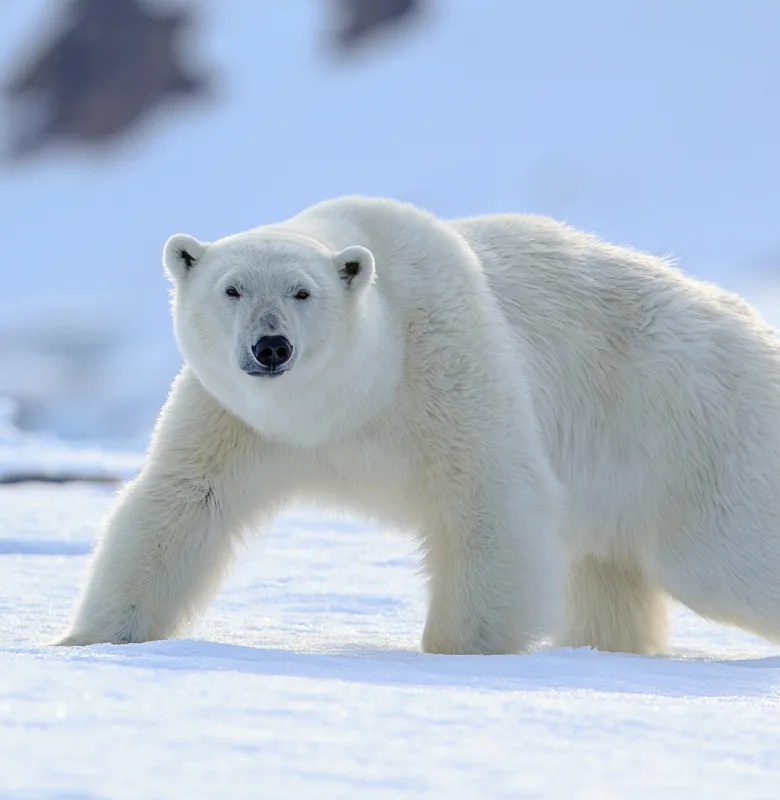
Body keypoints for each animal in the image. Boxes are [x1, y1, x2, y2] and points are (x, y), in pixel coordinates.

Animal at [57, 195, 780, 656]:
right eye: (231, 288)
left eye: (302, 292)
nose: (271, 347)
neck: (350, 401)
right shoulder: (236, 418)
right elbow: (181, 502)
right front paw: (88, 639)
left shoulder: (447, 363)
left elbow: (490, 497)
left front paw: (459, 651)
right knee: (607, 574)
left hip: (689, 434)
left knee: (725, 556)